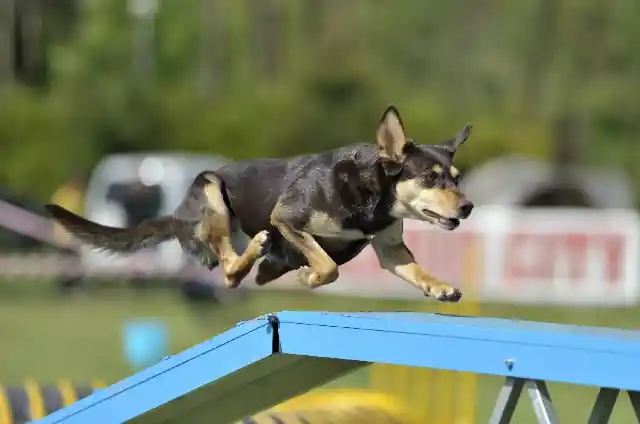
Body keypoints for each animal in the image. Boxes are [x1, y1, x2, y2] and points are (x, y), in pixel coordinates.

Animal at [45, 105, 472, 302]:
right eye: (430, 178)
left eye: (456, 177)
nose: (467, 207)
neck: (372, 196)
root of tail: (176, 213)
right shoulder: (287, 218)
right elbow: (328, 266)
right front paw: (311, 277)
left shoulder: (389, 247)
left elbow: (414, 269)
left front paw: (439, 287)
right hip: (212, 192)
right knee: (230, 272)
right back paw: (258, 250)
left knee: (246, 274)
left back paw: (267, 264)